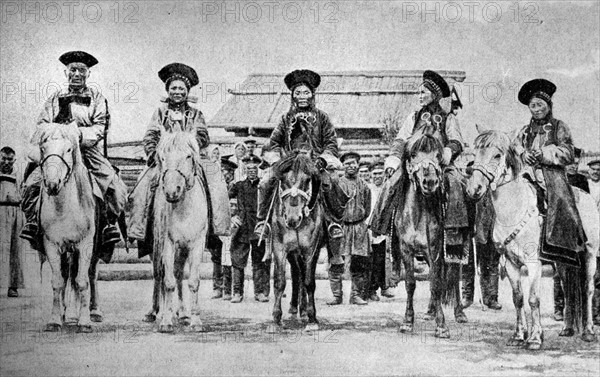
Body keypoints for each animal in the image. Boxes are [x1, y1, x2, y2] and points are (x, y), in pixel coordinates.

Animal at [37, 122, 97, 328]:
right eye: (43, 148)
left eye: (69, 149)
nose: (52, 184)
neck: (63, 209)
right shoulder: (51, 245)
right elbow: (58, 282)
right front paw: (55, 320)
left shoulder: (85, 245)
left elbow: (82, 281)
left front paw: (84, 321)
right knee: (67, 276)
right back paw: (67, 314)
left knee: (85, 276)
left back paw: (83, 314)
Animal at [152, 131, 209, 330]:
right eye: (162, 157)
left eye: (188, 156)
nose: (171, 192)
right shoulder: (167, 244)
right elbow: (168, 281)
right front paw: (166, 321)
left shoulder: (196, 244)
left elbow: (193, 281)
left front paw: (196, 321)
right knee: (160, 274)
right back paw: (160, 313)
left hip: (183, 249)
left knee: (178, 273)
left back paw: (183, 313)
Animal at [266, 151, 326, 332]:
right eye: (283, 179)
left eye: (307, 180)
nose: (293, 219)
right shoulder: (279, 248)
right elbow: (279, 281)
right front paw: (276, 319)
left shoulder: (311, 249)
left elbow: (309, 281)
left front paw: (312, 319)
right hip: (293, 253)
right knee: (296, 273)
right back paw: (295, 307)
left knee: (302, 275)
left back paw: (304, 310)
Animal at [394, 133, 464, 338]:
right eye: (413, 154)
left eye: (438, 155)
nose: (430, 182)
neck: (417, 216)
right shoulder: (406, 251)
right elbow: (410, 283)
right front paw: (407, 322)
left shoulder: (435, 252)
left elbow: (436, 284)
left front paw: (441, 326)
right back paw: (430, 311)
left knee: (453, 277)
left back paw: (459, 313)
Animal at [466, 129, 596, 350]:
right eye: (475, 153)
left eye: (497, 155)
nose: (474, 189)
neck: (514, 210)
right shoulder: (511, 264)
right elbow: (518, 298)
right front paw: (519, 336)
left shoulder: (534, 264)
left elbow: (533, 299)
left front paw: (535, 338)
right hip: (564, 264)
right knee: (568, 291)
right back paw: (567, 329)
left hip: (590, 256)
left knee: (587, 290)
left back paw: (588, 332)